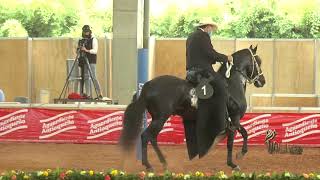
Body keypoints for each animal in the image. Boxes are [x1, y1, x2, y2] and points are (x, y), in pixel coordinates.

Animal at [120, 45, 264, 172]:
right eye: (258, 61)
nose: (262, 81)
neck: (232, 85)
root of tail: (148, 86)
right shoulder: (235, 118)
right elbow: (235, 138)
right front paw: (235, 161)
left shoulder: (233, 121)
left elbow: (242, 133)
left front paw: (238, 156)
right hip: (160, 118)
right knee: (146, 136)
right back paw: (149, 165)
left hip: (158, 118)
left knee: (152, 138)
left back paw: (163, 162)